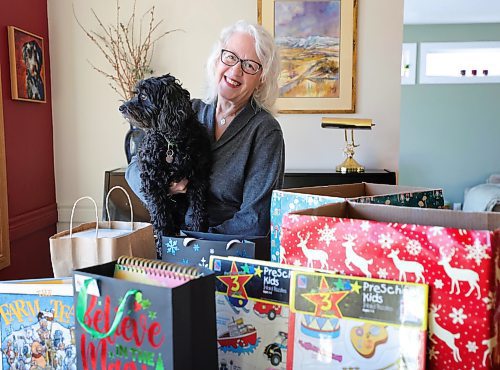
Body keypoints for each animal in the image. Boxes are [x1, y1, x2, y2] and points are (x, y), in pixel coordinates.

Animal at [120, 75, 212, 254]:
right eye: (136, 93)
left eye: (143, 96)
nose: (121, 107)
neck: (171, 142)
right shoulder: (153, 185)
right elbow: (161, 221)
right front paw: (163, 249)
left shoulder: (199, 181)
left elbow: (198, 213)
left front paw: (199, 235)